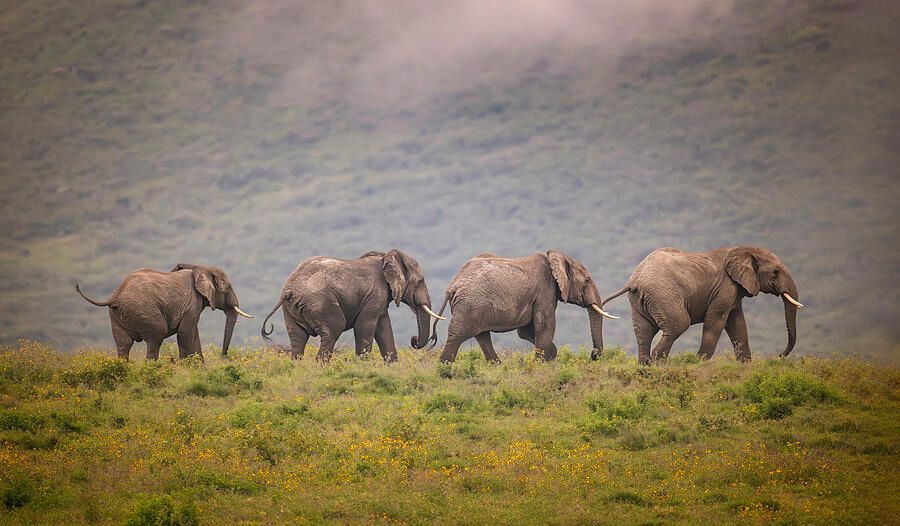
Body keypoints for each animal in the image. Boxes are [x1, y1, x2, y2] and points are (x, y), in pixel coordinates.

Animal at [75, 264, 253, 361]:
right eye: (228, 288)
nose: (223, 357)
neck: (202, 269)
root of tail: (115, 296)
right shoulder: (192, 304)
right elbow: (186, 333)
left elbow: (192, 334)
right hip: (145, 312)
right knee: (155, 338)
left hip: (117, 316)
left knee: (123, 344)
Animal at [260, 250, 444, 362]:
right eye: (419, 282)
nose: (413, 339)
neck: (385, 256)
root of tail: (289, 289)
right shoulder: (375, 293)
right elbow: (365, 326)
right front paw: (363, 365)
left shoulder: (379, 298)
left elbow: (384, 328)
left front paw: (393, 366)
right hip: (321, 303)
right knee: (333, 329)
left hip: (290, 309)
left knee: (298, 338)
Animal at [432, 251, 619, 364]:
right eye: (587, 280)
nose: (593, 355)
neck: (556, 258)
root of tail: (452, 285)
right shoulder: (546, 290)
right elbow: (544, 324)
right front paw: (541, 363)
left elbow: (526, 332)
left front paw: (550, 356)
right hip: (470, 304)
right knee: (459, 333)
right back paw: (445, 367)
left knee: (482, 336)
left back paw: (497, 366)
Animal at [602, 246, 803, 364]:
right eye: (775, 272)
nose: (779, 355)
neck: (741, 250)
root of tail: (634, 280)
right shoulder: (725, 288)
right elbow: (717, 321)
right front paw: (700, 363)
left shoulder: (734, 291)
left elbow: (737, 324)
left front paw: (745, 366)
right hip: (663, 296)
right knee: (678, 325)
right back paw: (658, 366)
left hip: (639, 301)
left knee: (644, 334)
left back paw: (645, 369)